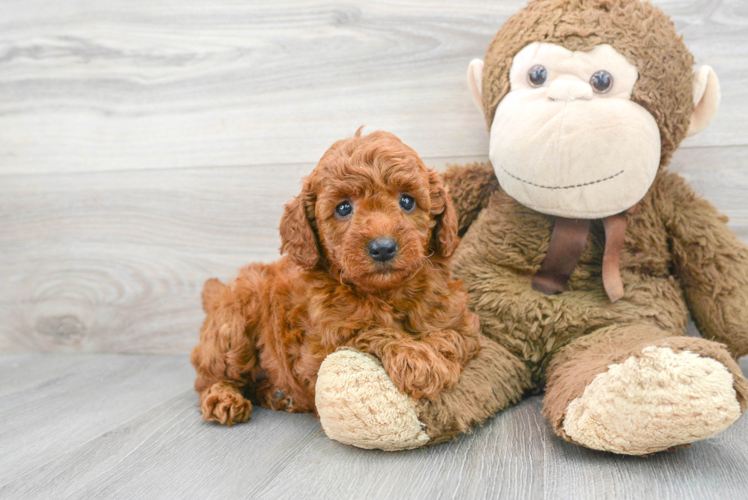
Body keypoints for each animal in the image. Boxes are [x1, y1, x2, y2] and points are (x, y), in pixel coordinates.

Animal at [190, 130, 482, 426]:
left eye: (407, 201)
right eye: (343, 208)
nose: (383, 247)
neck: (386, 294)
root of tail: (220, 293)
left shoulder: (459, 321)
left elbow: (451, 335)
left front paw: (432, 358)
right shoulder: (322, 347)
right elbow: (367, 331)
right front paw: (415, 359)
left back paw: (278, 395)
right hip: (233, 326)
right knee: (211, 376)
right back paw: (225, 398)